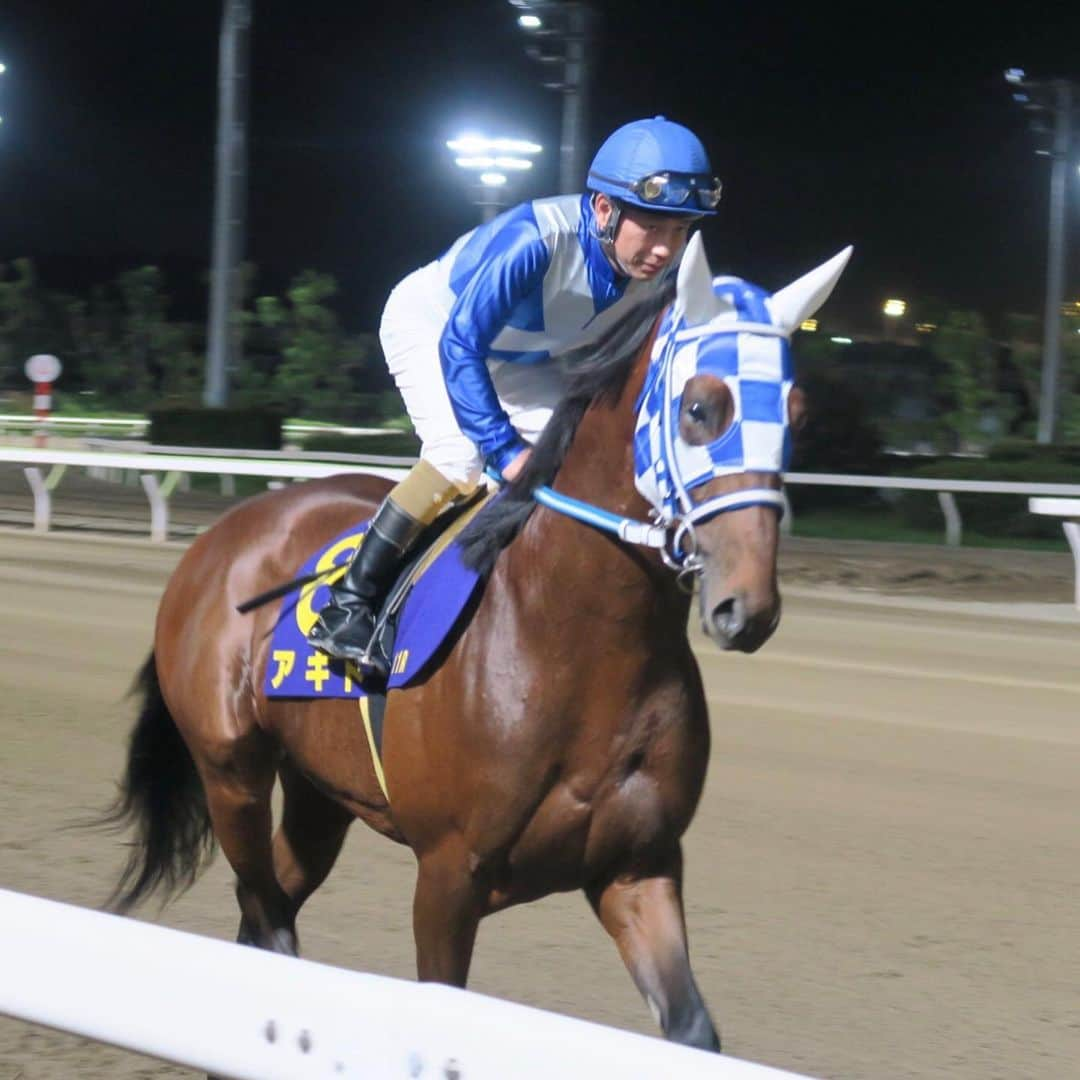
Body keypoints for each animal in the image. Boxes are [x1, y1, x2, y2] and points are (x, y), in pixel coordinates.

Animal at [107, 238, 851, 1054]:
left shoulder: (638, 863)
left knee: (264, 916)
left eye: (799, 414)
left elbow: (691, 1029)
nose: (746, 607)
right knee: (266, 917)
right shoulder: (447, 875)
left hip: (319, 796)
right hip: (231, 774)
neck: (579, 642)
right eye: (699, 408)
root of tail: (219, 538)